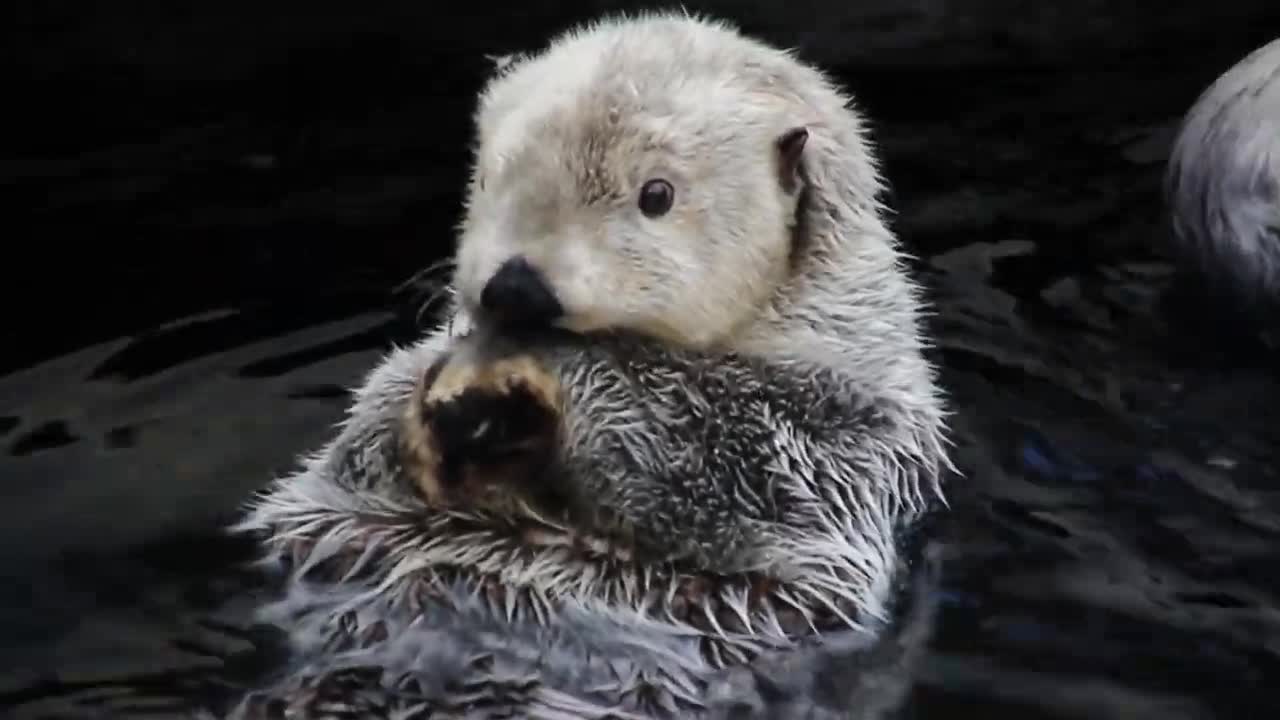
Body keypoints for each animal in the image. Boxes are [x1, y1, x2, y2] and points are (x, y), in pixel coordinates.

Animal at [227, 12, 952, 717]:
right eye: (490, 175)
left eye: (656, 194)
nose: (516, 286)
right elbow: (366, 431)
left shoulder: (829, 432)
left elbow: (711, 461)